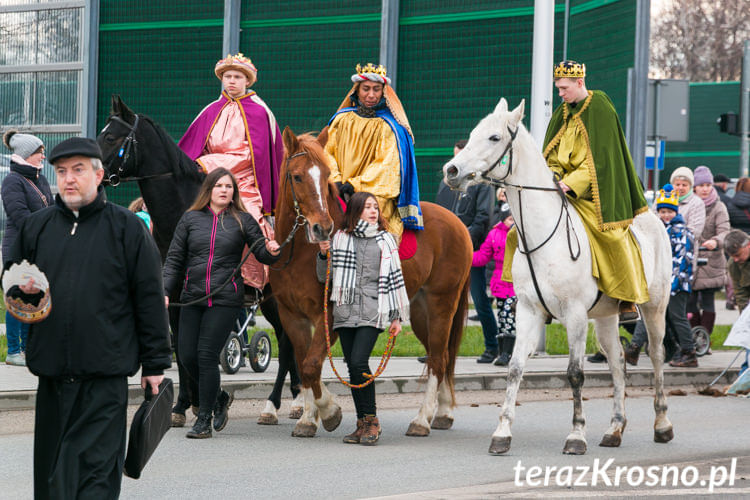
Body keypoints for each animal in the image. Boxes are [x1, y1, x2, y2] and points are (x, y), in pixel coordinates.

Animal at [97, 95, 302, 420]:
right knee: (286, 339)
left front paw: (212, 400)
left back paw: (278, 404)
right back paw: (292, 399)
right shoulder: (175, 300)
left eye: (110, 137)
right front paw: (183, 404)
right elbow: (182, 350)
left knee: (287, 343)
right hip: (271, 301)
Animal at [270, 128, 470, 438]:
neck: (301, 251)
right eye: (297, 176)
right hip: (420, 311)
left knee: (438, 360)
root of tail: (457, 223)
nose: (322, 228)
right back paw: (444, 412)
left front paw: (328, 412)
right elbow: (303, 367)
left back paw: (422, 420)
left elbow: (312, 365)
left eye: (325, 175)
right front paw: (307, 418)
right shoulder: (291, 317)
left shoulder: (328, 316)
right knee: (443, 356)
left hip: (442, 304)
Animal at [444, 96, 680, 454]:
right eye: (472, 135)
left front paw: (576, 434)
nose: (452, 171)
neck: (543, 235)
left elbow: (575, 373)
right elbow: (515, 368)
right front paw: (502, 433)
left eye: (494, 138)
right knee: (617, 361)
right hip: (607, 316)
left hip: (654, 307)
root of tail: (653, 216)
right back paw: (615, 428)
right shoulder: (528, 311)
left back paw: (662, 424)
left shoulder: (576, 314)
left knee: (656, 355)